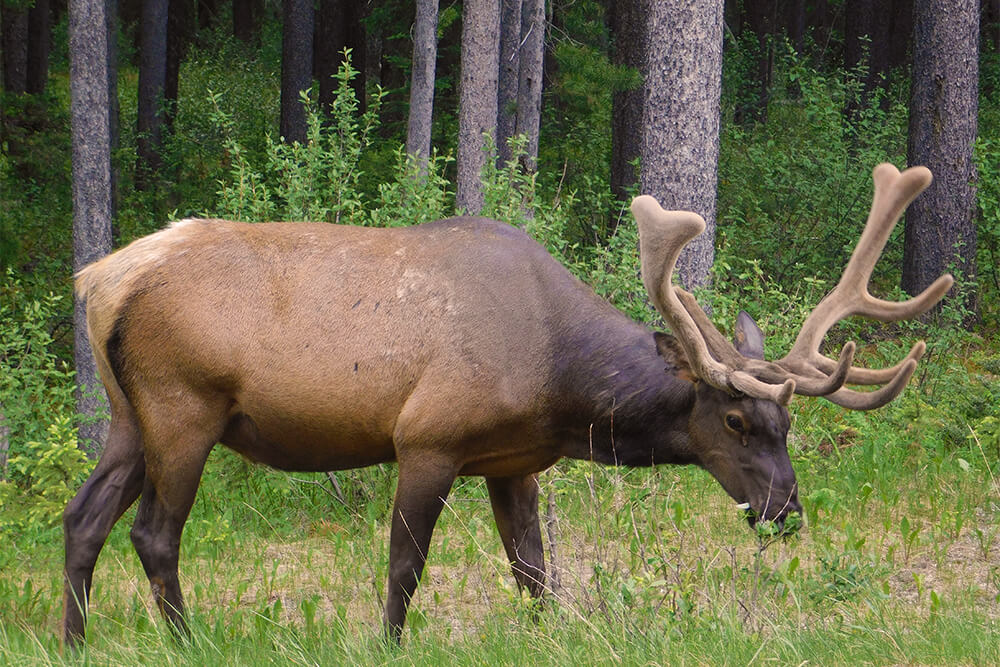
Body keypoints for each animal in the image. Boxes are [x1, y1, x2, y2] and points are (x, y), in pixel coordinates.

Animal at [64, 163, 952, 648]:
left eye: (788, 422)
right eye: (735, 419)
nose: (785, 508)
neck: (558, 383)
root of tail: (98, 279)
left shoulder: (514, 459)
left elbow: (534, 571)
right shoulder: (426, 437)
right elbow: (404, 566)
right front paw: (388, 643)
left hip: (127, 415)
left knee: (84, 518)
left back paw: (74, 643)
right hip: (184, 407)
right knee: (154, 533)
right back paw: (186, 640)